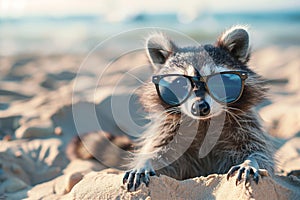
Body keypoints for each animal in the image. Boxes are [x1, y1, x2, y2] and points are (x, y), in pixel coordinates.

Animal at [122, 26, 274, 191]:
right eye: (180, 83)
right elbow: (160, 151)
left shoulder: (245, 124)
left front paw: (250, 162)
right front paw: (145, 163)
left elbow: (259, 152)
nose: (200, 107)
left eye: (218, 82)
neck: (204, 122)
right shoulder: (168, 129)